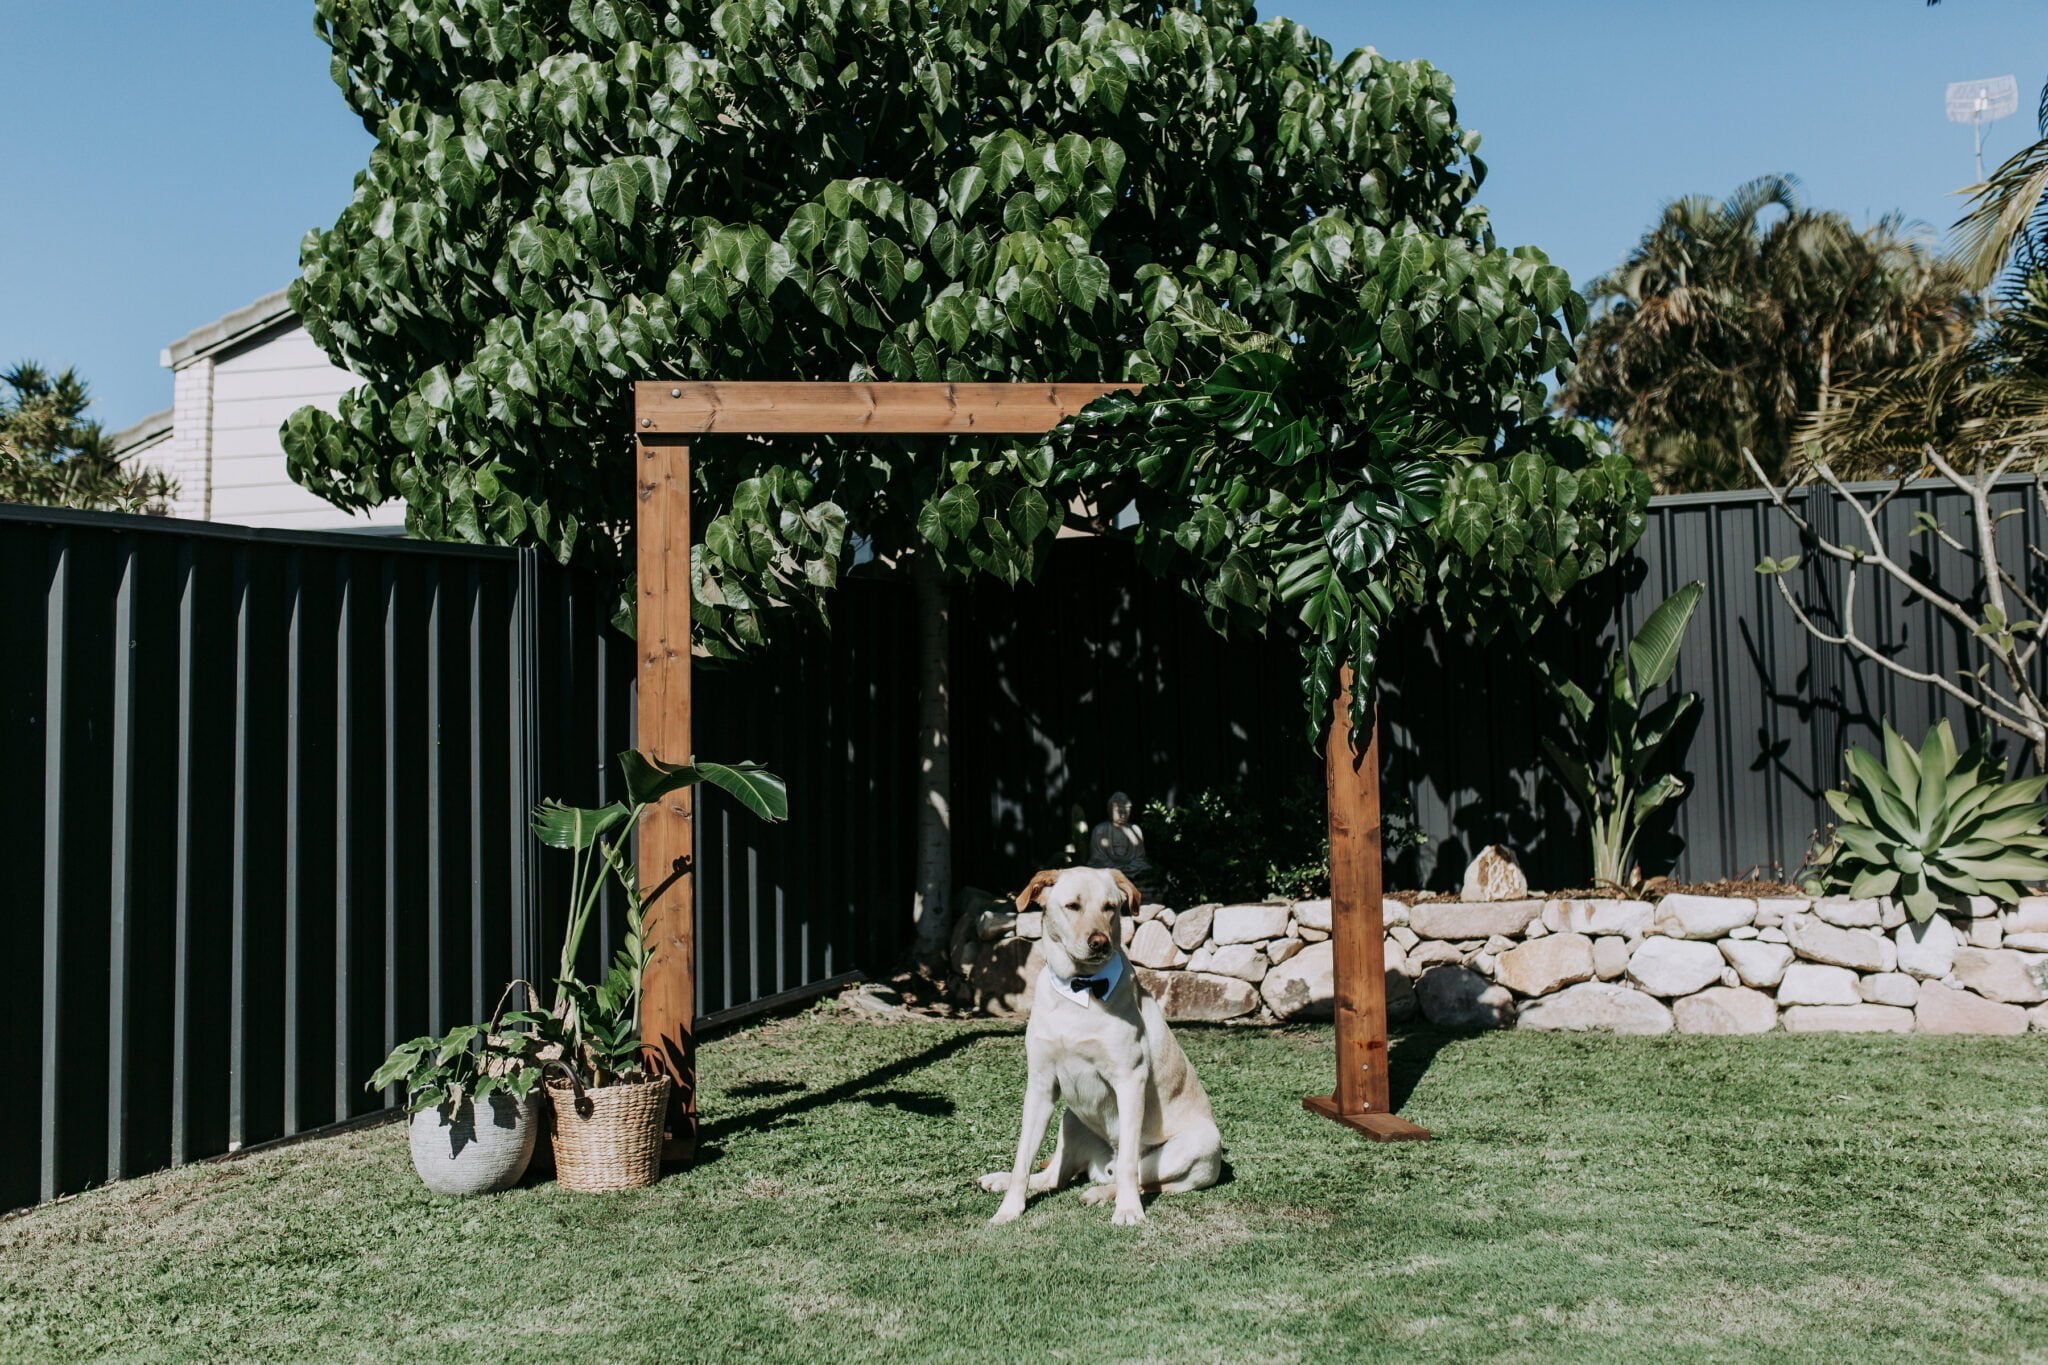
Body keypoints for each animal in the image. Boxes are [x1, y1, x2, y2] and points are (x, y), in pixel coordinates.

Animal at [979, 866, 1223, 1226]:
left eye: (1110, 907)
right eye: (1072, 906)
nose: (1099, 942)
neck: (1079, 990)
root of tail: (1100, 1164)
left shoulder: (1130, 1080)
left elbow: (1129, 1166)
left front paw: (1128, 1211)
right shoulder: (1040, 1085)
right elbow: (1023, 1157)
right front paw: (1009, 1208)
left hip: (1199, 1144)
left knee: (1138, 1177)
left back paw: (1102, 1194)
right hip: (1070, 1118)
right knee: (1053, 1177)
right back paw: (1001, 1180)